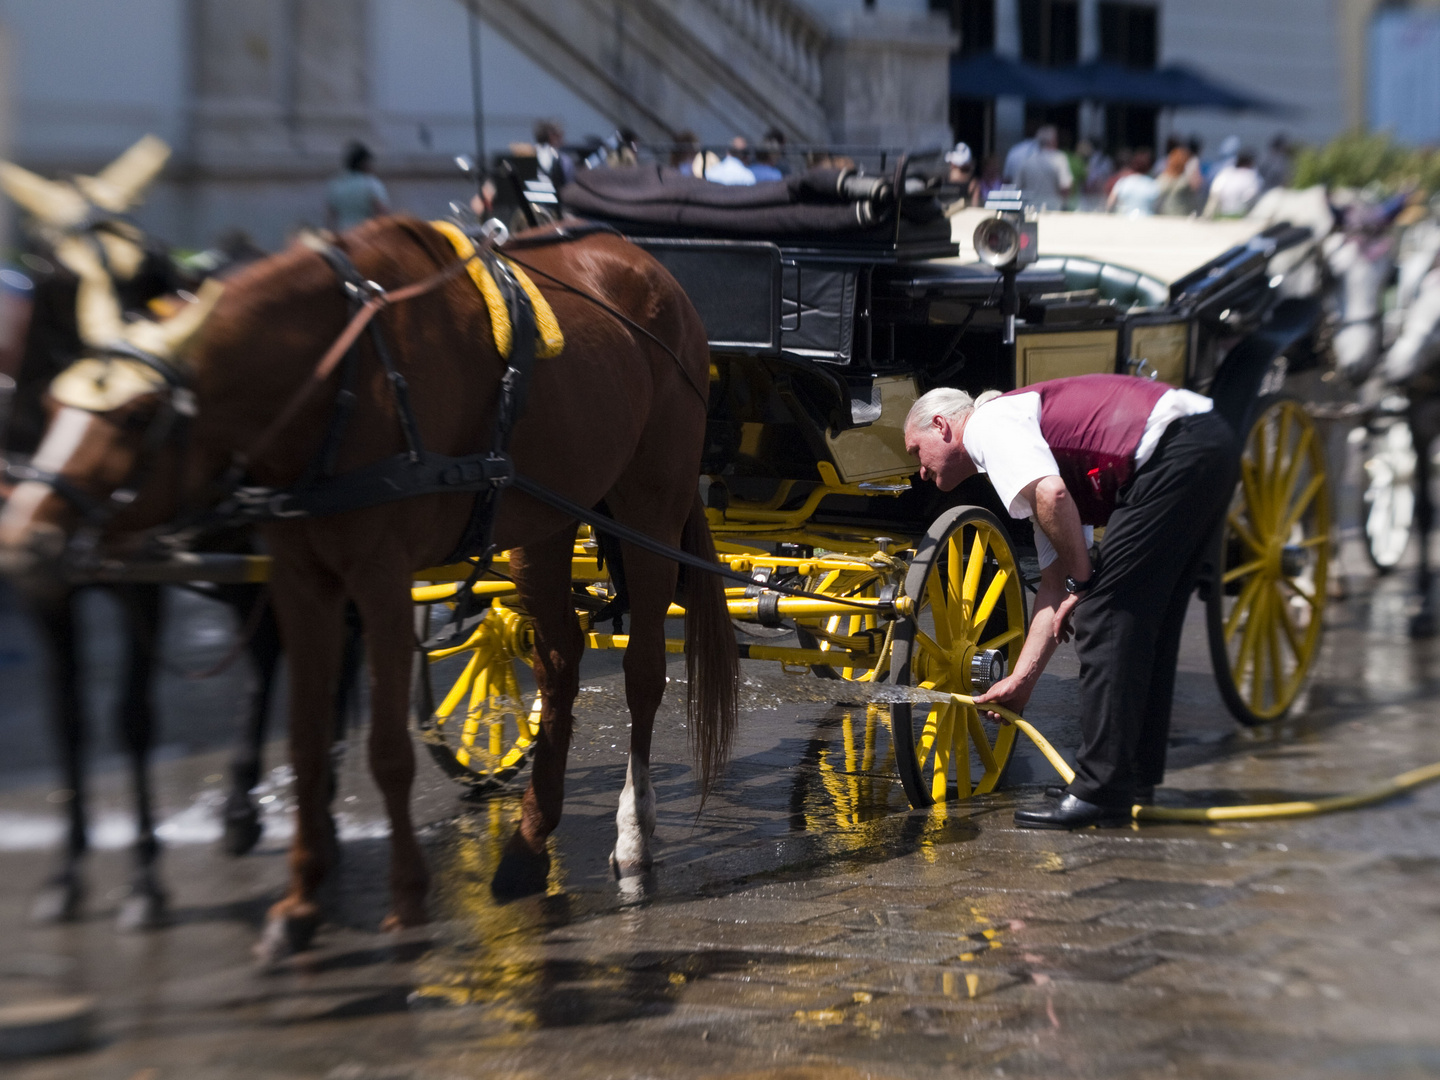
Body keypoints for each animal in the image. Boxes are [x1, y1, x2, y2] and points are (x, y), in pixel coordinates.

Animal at [0, 216, 737, 961]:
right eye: (55, 402)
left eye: (135, 415)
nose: (23, 536)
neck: (341, 387)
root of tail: (647, 264)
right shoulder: (301, 581)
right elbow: (303, 740)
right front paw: (300, 901)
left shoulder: (380, 578)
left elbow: (386, 749)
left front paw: (405, 900)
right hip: (549, 519)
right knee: (559, 659)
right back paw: (528, 849)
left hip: (650, 506)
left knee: (643, 670)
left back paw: (634, 830)